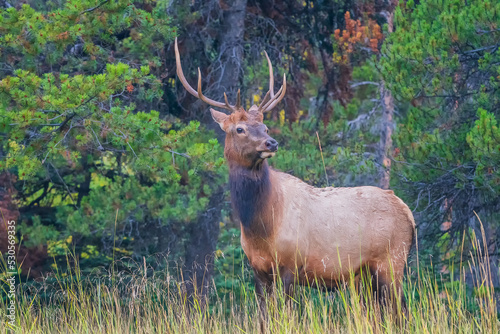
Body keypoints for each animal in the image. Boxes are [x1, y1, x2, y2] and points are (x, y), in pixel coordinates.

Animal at [174, 38, 416, 316]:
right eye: (240, 129)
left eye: (265, 126)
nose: (271, 142)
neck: (261, 225)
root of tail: (408, 212)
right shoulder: (258, 269)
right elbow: (264, 316)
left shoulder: (290, 264)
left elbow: (287, 313)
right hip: (365, 276)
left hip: (392, 262)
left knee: (402, 312)